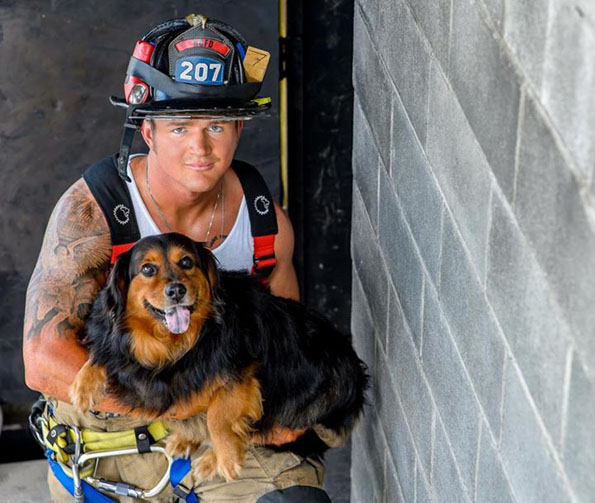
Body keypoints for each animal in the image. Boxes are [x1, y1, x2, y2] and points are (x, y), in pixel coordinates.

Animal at [70, 234, 368, 482]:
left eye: (187, 262)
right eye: (147, 269)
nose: (176, 291)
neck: (175, 345)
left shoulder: (244, 374)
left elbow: (218, 414)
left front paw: (226, 458)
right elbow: (103, 354)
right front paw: (83, 386)